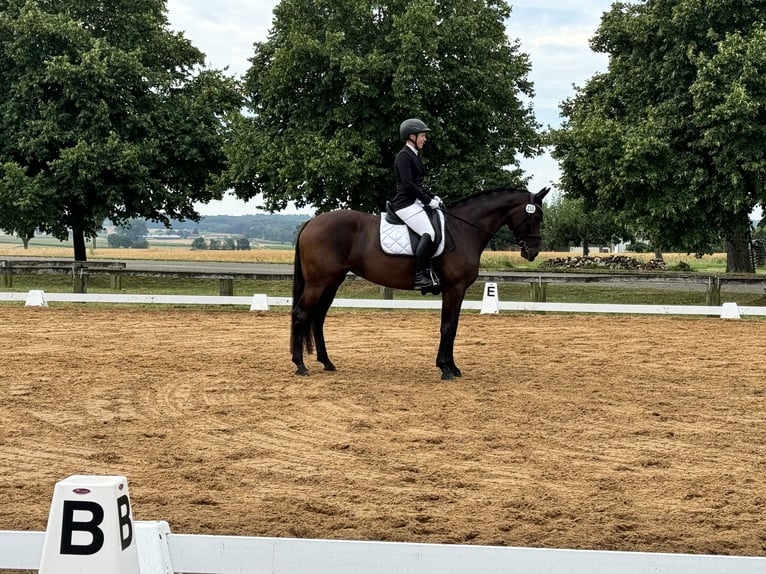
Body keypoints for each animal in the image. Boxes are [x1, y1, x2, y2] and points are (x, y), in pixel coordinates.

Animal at [292, 186, 548, 382]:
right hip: (319, 282)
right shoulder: (453, 289)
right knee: (301, 314)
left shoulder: (458, 291)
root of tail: (312, 221)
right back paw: (300, 365)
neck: (463, 230)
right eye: (534, 217)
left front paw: (452, 367)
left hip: (332, 281)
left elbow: (453, 326)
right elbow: (447, 327)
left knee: (318, 317)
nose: (533, 252)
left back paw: (326, 362)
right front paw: (445, 369)